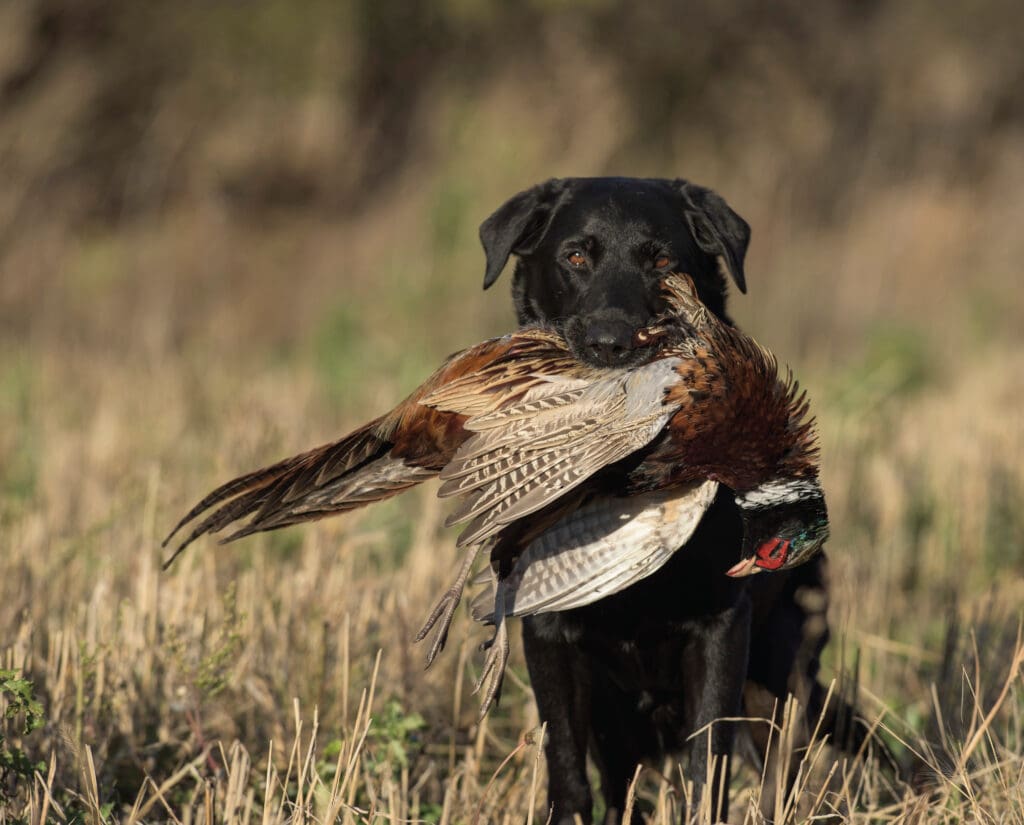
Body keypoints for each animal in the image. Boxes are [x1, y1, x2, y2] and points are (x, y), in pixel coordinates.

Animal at [477, 178, 856, 822]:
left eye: (662, 262)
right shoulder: (549, 633)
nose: (611, 343)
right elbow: (566, 770)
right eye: (575, 256)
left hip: (782, 673)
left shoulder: (721, 625)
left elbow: (709, 765)